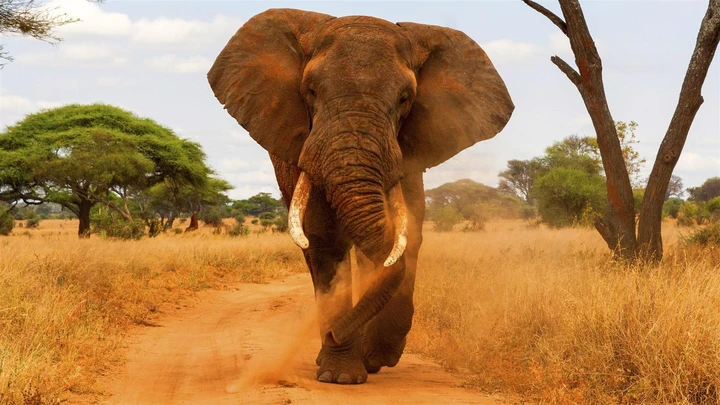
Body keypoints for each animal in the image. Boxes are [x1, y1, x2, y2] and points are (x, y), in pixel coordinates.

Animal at [208, 8, 513, 385]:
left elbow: (407, 236)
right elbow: (326, 240)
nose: (333, 333)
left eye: (405, 99)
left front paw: (375, 357)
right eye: (310, 91)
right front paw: (341, 375)